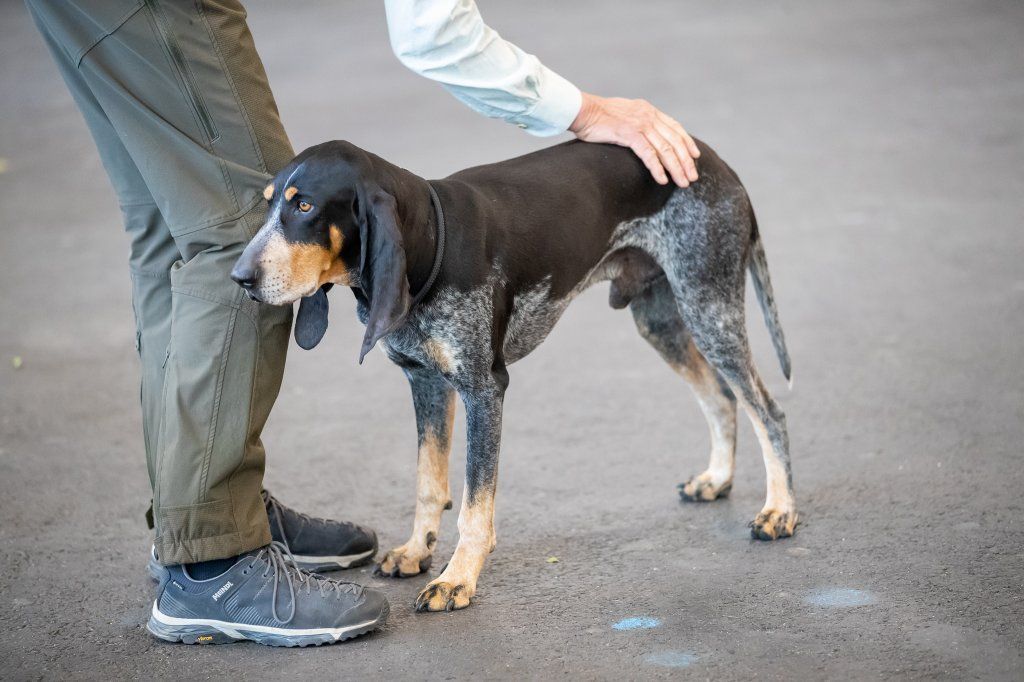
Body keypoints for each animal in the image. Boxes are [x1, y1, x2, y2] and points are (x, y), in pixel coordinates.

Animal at [234, 138, 798, 610]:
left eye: (304, 206)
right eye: (268, 203)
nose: (240, 277)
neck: (432, 243)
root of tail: (712, 157)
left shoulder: (484, 390)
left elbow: (473, 504)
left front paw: (457, 578)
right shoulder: (426, 383)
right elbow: (427, 481)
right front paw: (417, 550)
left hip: (709, 307)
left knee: (767, 409)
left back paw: (780, 510)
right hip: (660, 320)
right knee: (722, 397)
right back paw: (718, 478)